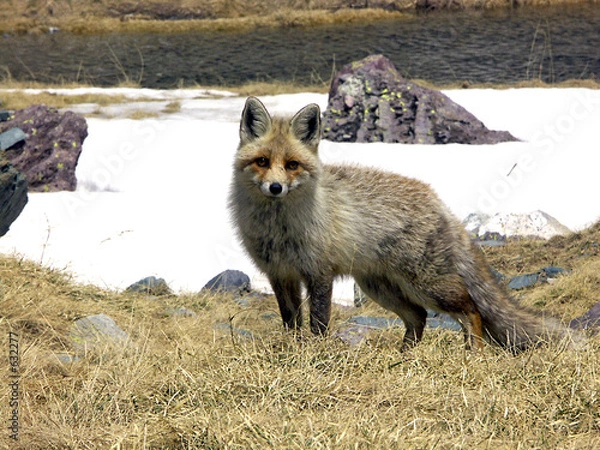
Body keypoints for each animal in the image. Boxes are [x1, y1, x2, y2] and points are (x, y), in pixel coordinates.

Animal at [230, 97, 580, 352]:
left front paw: (314, 353)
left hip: (426, 285)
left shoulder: (319, 273)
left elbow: (318, 323)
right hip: (380, 288)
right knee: (419, 318)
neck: (279, 229)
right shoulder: (280, 274)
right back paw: (404, 356)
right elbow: (291, 321)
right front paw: (293, 350)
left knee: (471, 309)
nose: (276, 188)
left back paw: (473, 353)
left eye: (292, 165)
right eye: (262, 162)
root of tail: (439, 201)